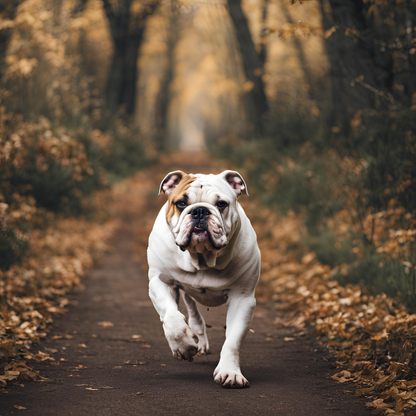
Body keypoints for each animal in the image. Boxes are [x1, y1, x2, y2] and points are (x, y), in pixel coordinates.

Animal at [148, 168, 260, 386]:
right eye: (181, 203)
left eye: (221, 204)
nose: (200, 211)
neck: (202, 257)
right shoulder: (160, 281)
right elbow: (172, 317)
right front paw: (183, 345)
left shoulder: (242, 299)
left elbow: (233, 340)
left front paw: (230, 372)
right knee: (191, 309)